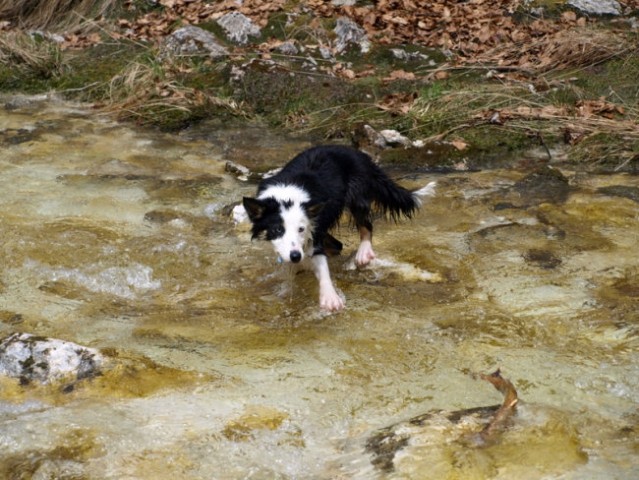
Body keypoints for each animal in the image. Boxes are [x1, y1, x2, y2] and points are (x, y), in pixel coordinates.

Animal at [242, 144, 422, 314]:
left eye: (301, 229)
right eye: (278, 230)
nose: (296, 256)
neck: (286, 197)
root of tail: (358, 153)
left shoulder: (314, 233)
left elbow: (321, 265)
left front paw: (330, 298)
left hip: (357, 193)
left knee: (366, 226)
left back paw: (363, 252)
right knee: (338, 244)